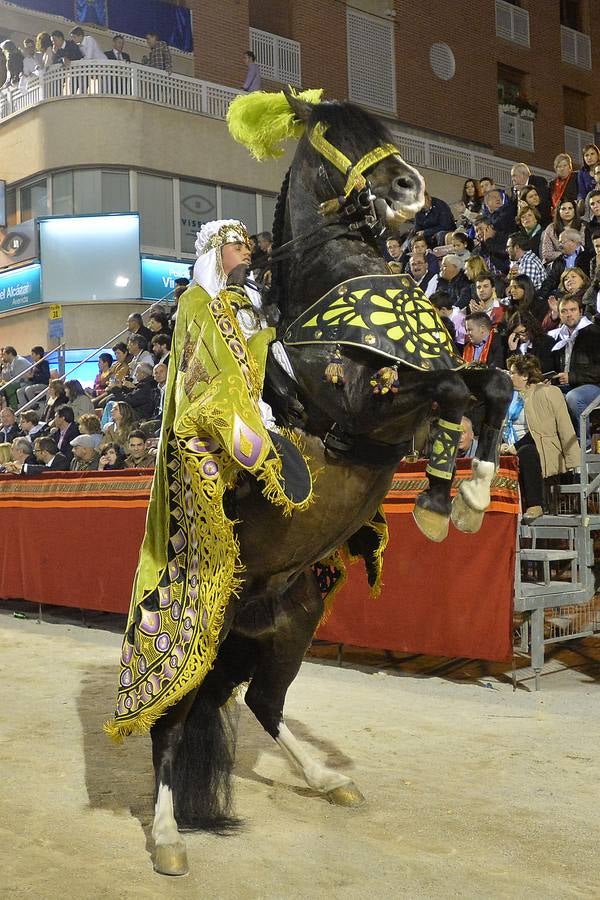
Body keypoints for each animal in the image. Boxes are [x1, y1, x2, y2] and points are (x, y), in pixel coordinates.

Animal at [144, 89, 510, 872]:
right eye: (329, 135)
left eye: (380, 128)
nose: (409, 188)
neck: (334, 277)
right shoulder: (362, 404)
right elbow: (454, 391)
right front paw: (441, 501)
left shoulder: (410, 391)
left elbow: (489, 382)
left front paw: (468, 493)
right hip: (204, 640)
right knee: (170, 725)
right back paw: (165, 837)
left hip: (294, 623)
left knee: (262, 703)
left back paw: (326, 780)